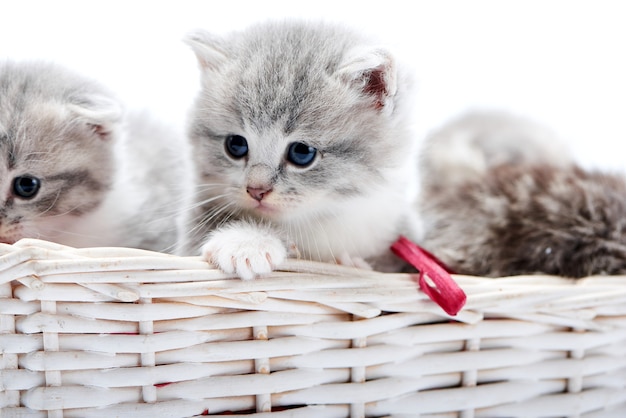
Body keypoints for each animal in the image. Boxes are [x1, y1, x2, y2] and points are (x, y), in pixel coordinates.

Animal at [176, 21, 420, 280]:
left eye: (302, 153)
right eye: (236, 145)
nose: (256, 190)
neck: (319, 219)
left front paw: (352, 264)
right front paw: (246, 242)